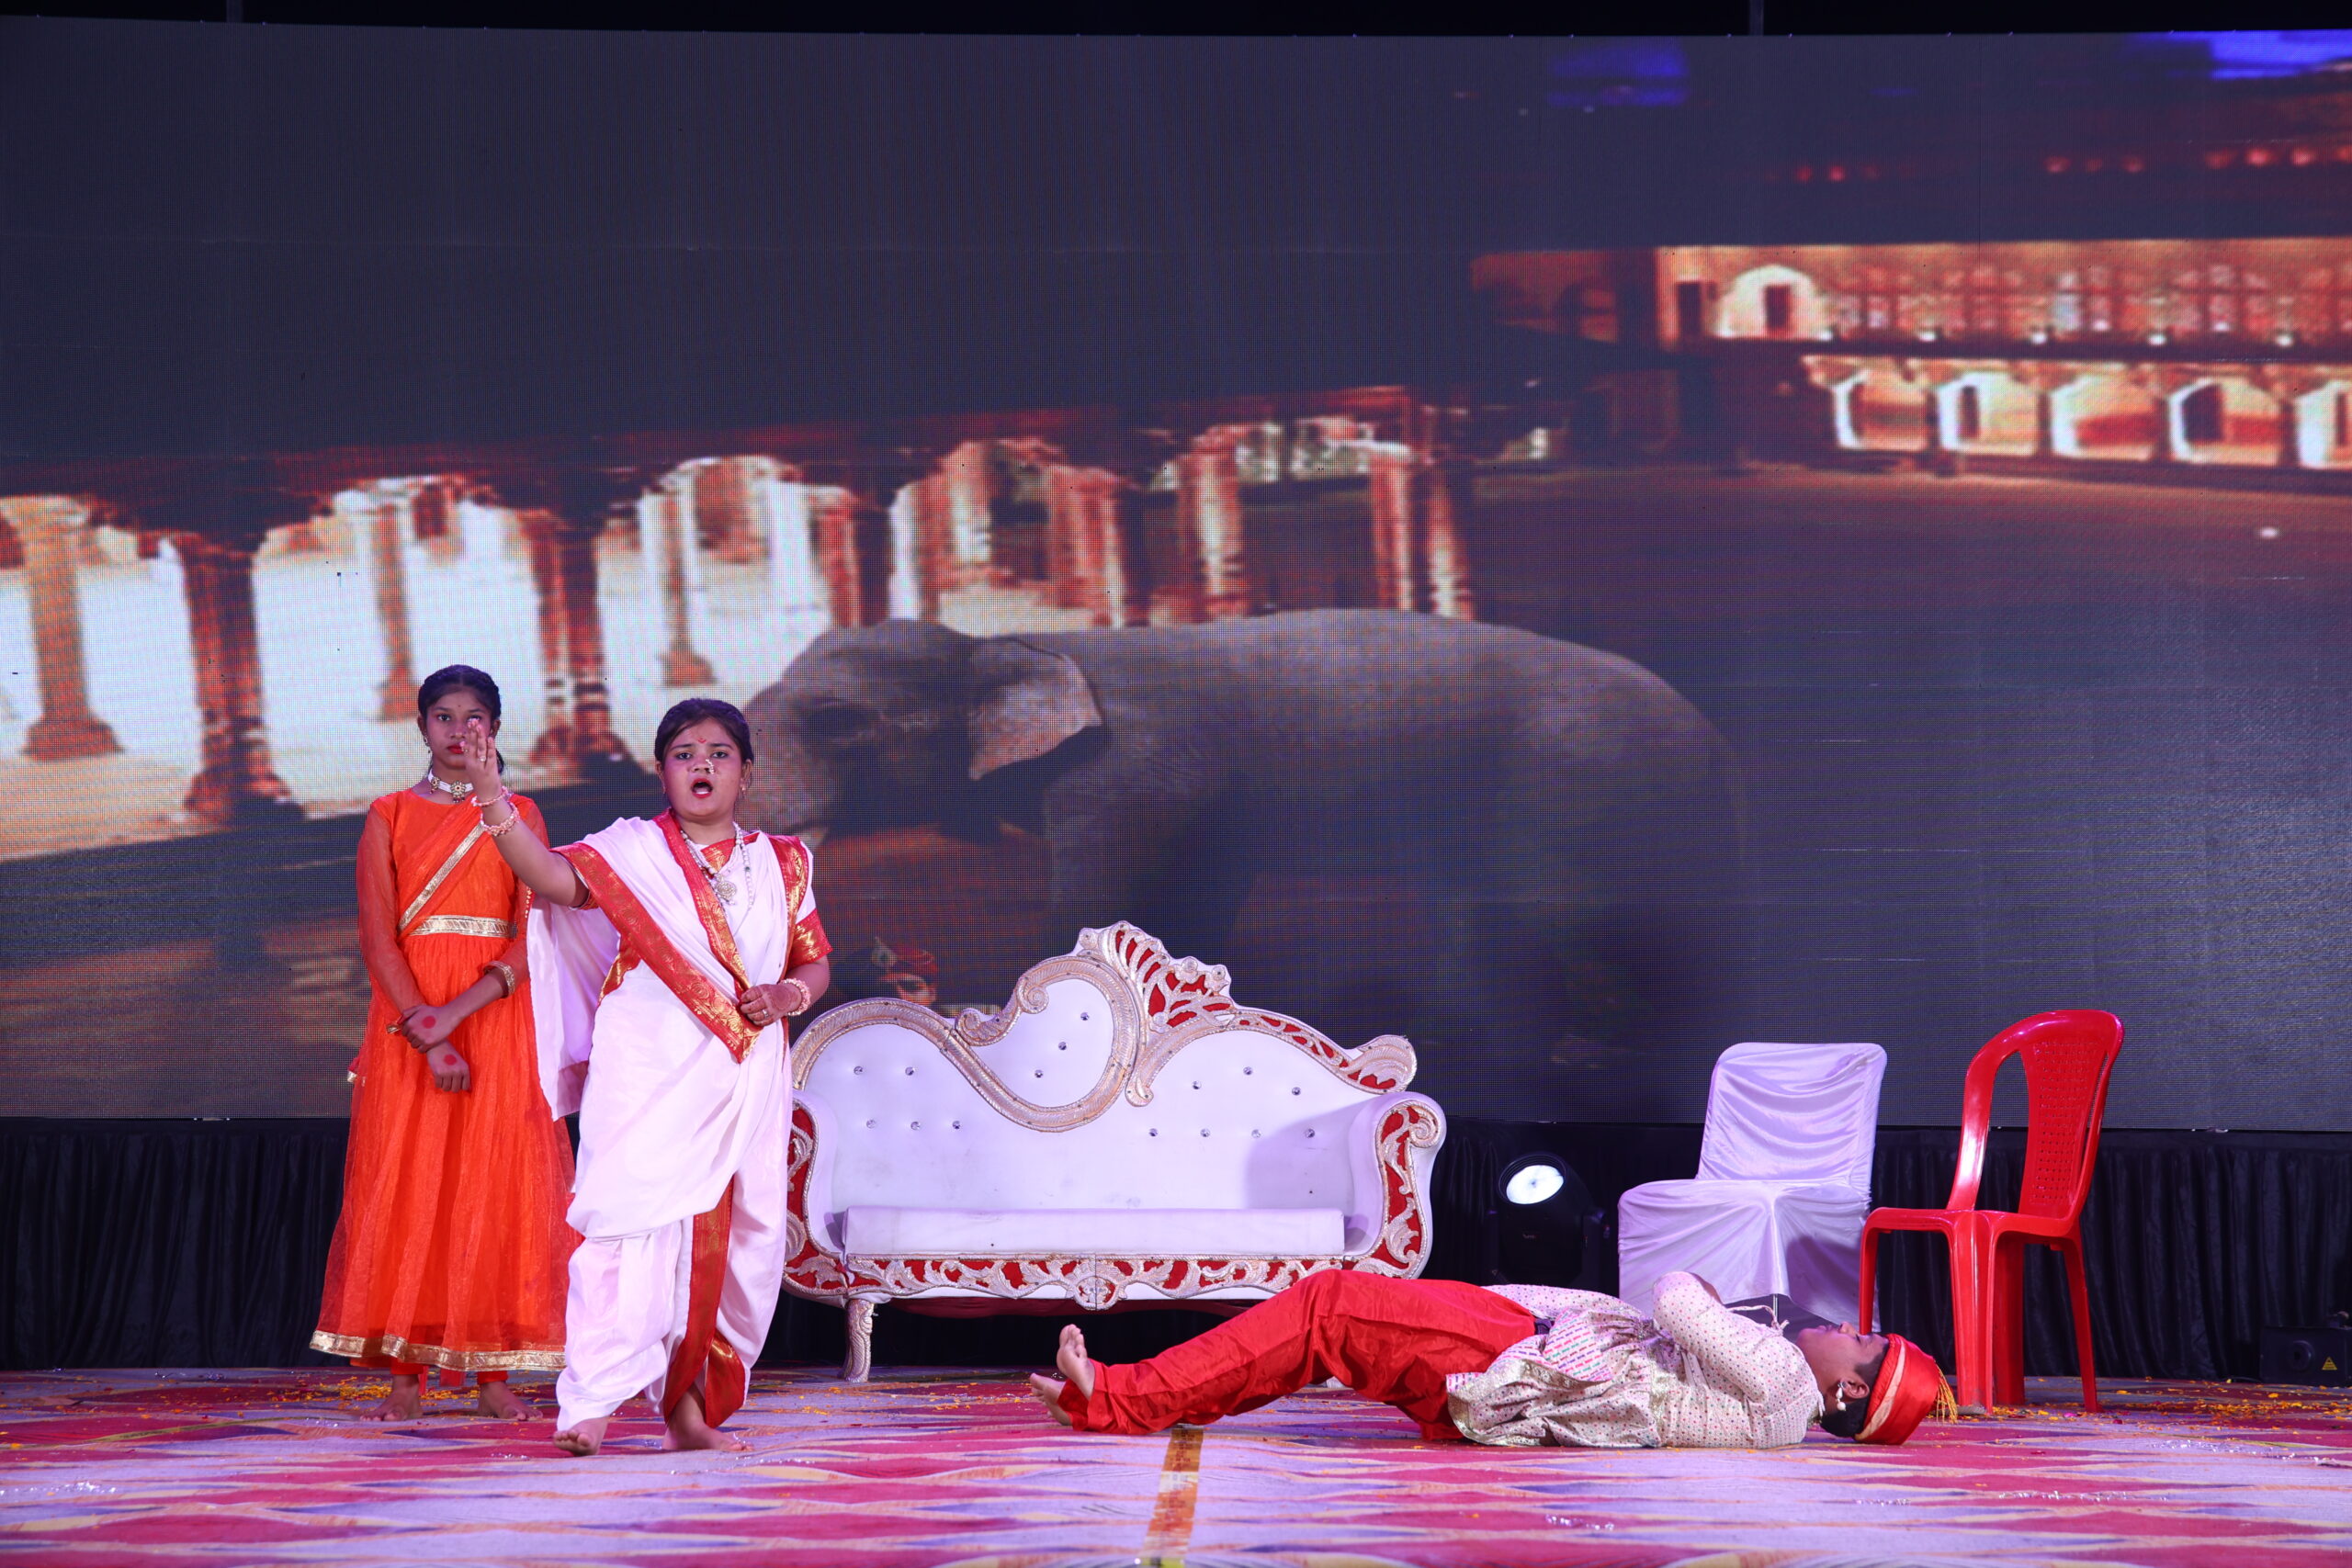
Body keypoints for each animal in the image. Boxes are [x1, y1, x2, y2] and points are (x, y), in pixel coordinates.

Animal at [742, 609, 1744, 1116]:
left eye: (839, 720)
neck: (1016, 638)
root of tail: (1715, 742)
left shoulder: (1130, 774)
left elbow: (1101, 894)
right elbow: (1189, 902)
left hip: (1580, 792)